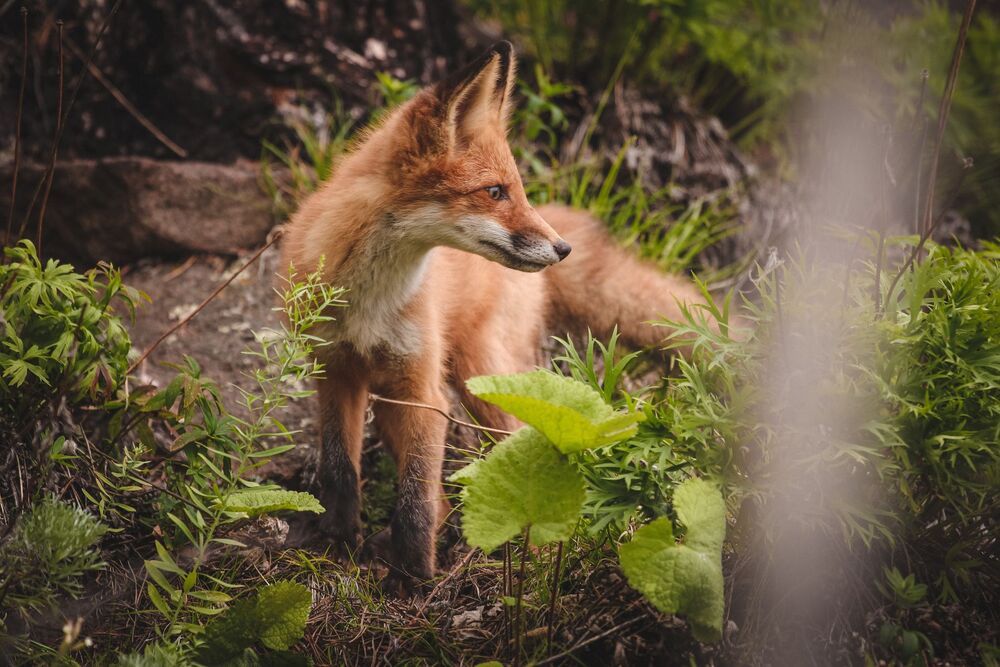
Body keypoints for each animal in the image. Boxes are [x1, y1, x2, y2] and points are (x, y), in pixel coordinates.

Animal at [281, 41, 715, 589]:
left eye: (517, 190)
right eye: (494, 192)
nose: (562, 249)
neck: (370, 301)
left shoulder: (423, 389)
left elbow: (416, 501)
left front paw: (416, 581)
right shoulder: (335, 370)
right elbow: (340, 469)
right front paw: (336, 546)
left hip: (477, 378)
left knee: (520, 452)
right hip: (404, 397)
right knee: (444, 489)